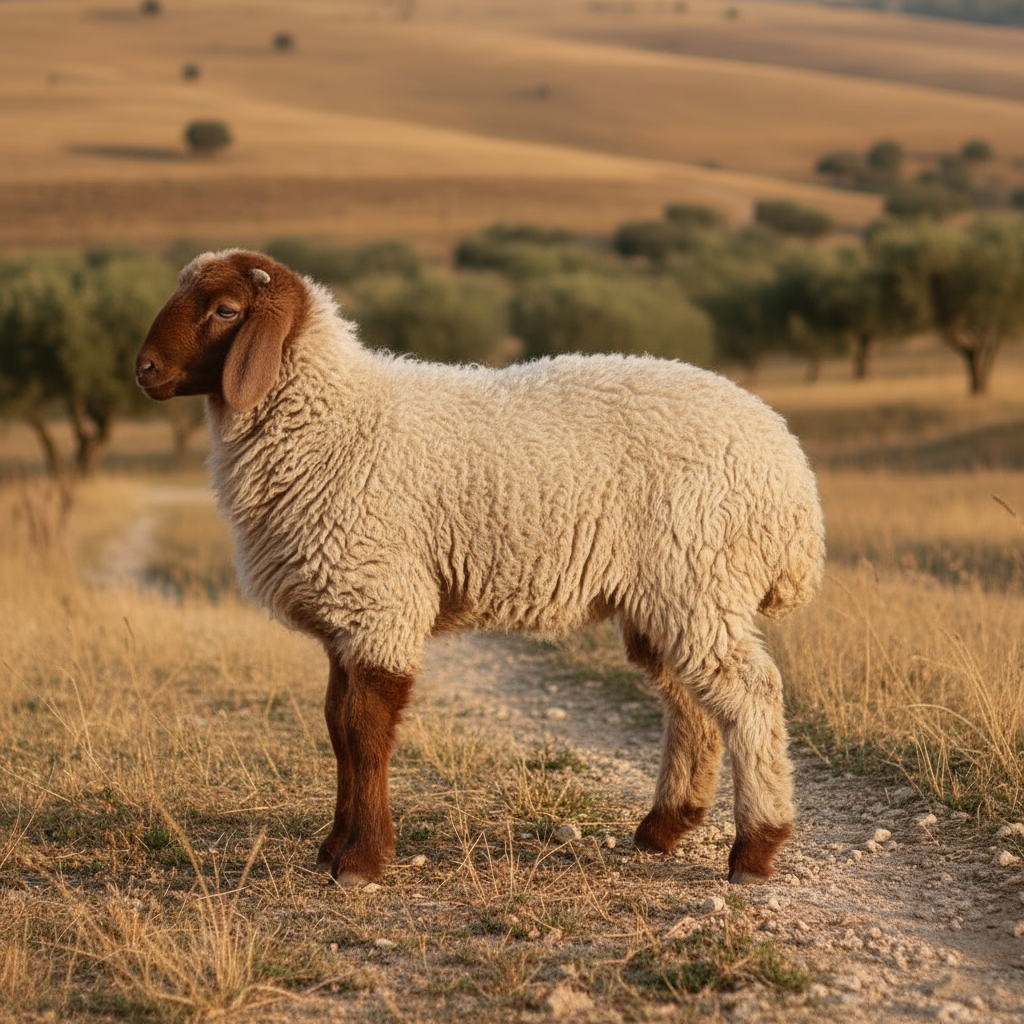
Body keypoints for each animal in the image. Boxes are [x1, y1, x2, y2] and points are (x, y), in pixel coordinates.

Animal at [135, 248, 825, 887]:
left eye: (226, 310)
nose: (144, 370)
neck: (331, 419)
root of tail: (794, 478)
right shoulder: (345, 611)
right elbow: (337, 727)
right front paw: (333, 849)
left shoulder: (380, 601)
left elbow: (366, 730)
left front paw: (362, 860)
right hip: (668, 596)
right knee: (691, 702)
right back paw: (664, 828)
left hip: (698, 578)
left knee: (751, 694)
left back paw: (756, 848)